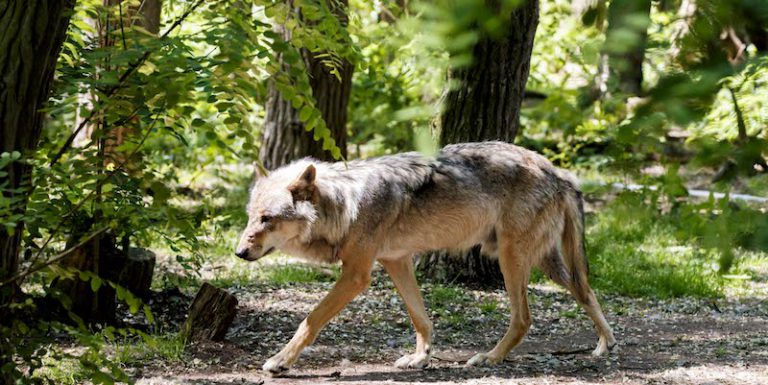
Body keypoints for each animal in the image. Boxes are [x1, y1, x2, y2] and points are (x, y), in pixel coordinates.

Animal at [237, 141, 616, 372]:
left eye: (268, 219)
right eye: (251, 215)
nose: (239, 252)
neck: (344, 204)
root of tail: (557, 171)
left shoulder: (357, 274)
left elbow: (310, 320)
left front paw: (280, 361)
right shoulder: (397, 261)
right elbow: (420, 318)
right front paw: (421, 358)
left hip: (512, 259)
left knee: (524, 318)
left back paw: (489, 357)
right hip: (543, 262)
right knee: (585, 289)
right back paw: (606, 343)